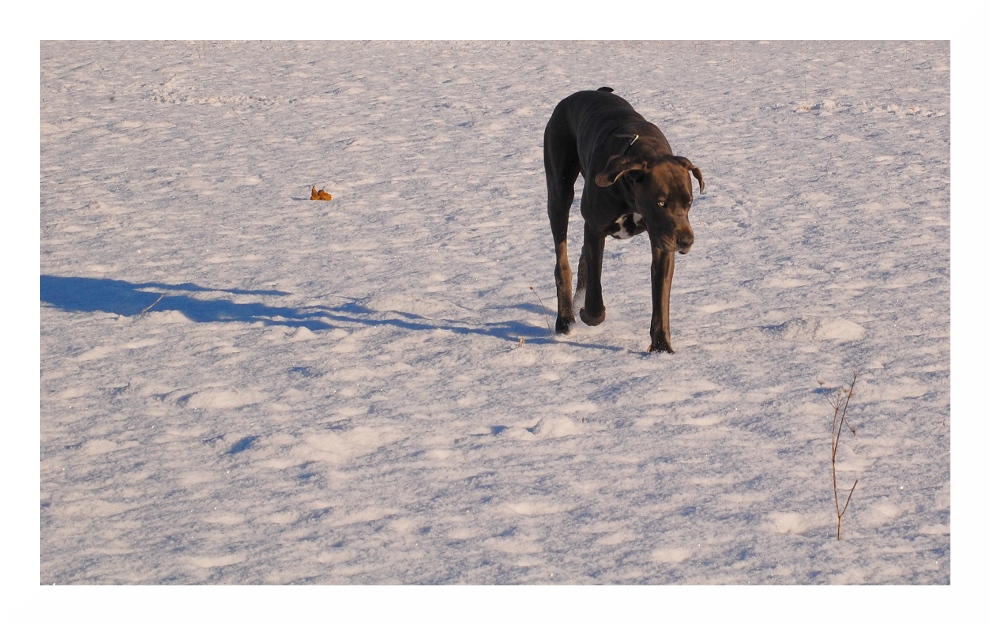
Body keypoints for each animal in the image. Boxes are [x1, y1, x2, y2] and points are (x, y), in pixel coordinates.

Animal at [544, 86, 704, 354]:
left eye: (689, 202)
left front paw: (661, 347)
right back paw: (565, 318)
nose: (686, 241)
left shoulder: (661, 241)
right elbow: (595, 293)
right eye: (661, 203)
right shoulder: (595, 228)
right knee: (562, 260)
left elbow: (661, 297)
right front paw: (589, 314)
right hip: (559, 189)